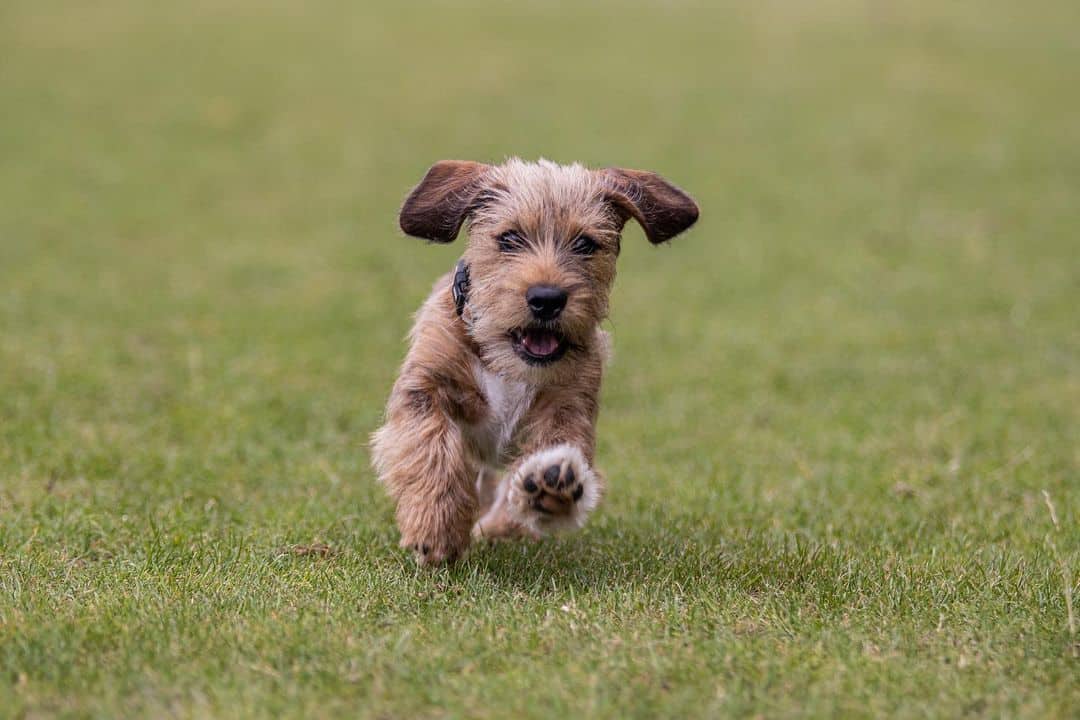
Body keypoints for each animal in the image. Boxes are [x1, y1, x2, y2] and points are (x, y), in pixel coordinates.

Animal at [371, 157, 699, 561]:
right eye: (510, 238)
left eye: (585, 243)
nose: (546, 298)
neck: (509, 363)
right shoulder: (426, 383)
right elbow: (428, 444)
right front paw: (436, 525)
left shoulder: (569, 404)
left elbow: (555, 448)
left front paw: (550, 483)